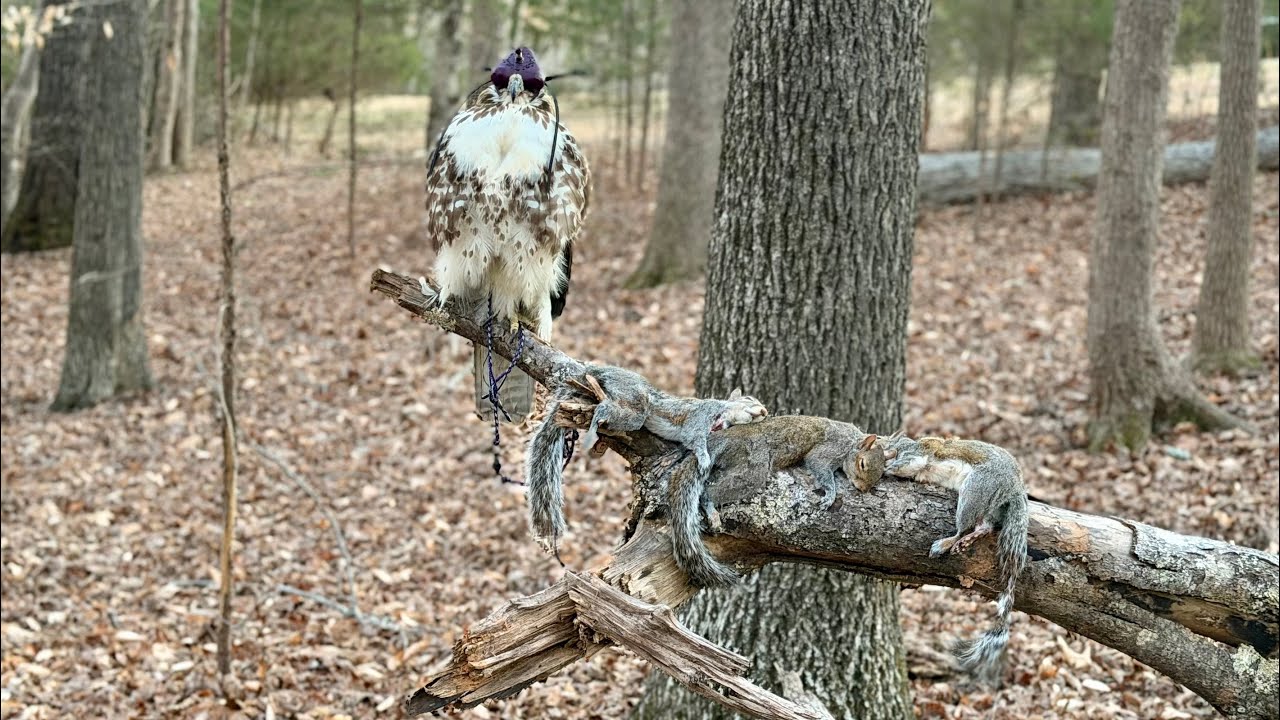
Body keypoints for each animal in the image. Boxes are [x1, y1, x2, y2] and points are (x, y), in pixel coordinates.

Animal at [525, 364, 768, 557]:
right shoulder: (700, 417)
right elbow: (695, 440)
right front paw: (703, 457)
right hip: (634, 403)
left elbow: (683, 448)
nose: (764, 411)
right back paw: (598, 417)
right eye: (748, 399)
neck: (721, 415)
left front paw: (671, 458)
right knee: (615, 408)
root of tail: (604, 370)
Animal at [669, 416, 871, 587]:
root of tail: (725, 437)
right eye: (863, 464)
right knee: (710, 493)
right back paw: (711, 509)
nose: (863, 489)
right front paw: (830, 493)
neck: (853, 440)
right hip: (751, 463)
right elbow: (818, 464)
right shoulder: (834, 448)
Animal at [851, 434, 1029, 686]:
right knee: (985, 526)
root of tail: (1016, 485)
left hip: (976, 490)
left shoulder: (914, 454)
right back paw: (970, 538)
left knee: (967, 524)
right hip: (991, 503)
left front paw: (887, 468)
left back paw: (948, 542)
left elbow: (904, 464)